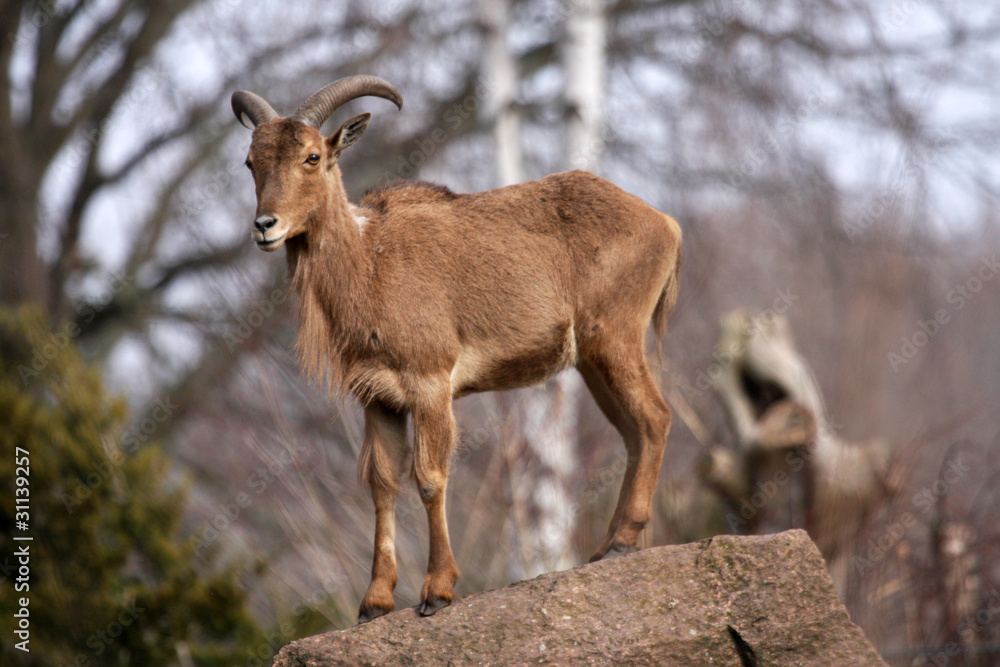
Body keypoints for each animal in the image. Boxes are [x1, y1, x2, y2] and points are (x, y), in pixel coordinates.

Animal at [230, 75, 682, 622]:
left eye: (313, 156)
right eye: (251, 161)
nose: (265, 226)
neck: (369, 262)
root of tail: (665, 223)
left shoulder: (428, 382)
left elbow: (429, 477)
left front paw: (437, 590)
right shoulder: (377, 398)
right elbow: (382, 482)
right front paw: (375, 600)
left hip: (616, 338)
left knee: (654, 418)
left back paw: (621, 542)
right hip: (593, 363)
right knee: (632, 432)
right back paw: (608, 545)